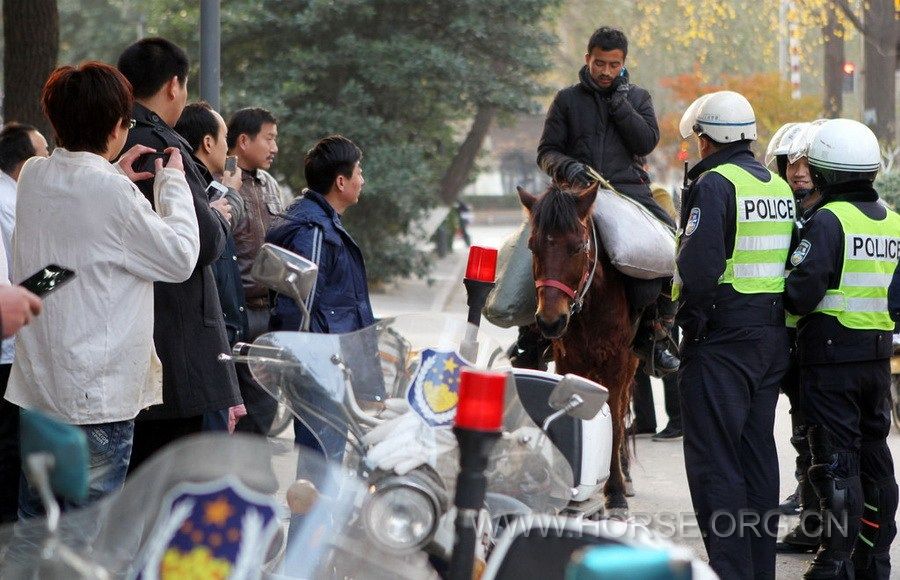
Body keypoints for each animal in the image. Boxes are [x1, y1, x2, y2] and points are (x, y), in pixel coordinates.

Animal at [516, 181, 636, 512]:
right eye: (533, 246)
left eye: (578, 247)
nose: (550, 321)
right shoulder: (569, 362)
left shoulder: (618, 364)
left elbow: (616, 421)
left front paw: (615, 490)